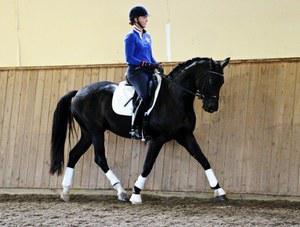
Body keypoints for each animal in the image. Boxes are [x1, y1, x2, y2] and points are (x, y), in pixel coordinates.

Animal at [50, 56, 231, 204]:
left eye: (221, 82)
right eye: (211, 80)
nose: (211, 107)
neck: (174, 97)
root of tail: (78, 93)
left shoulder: (185, 135)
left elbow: (203, 159)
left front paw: (220, 191)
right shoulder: (158, 138)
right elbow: (148, 164)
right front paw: (136, 194)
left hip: (88, 133)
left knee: (74, 154)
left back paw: (65, 192)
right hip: (96, 131)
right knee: (100, 158)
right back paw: (121, 192)